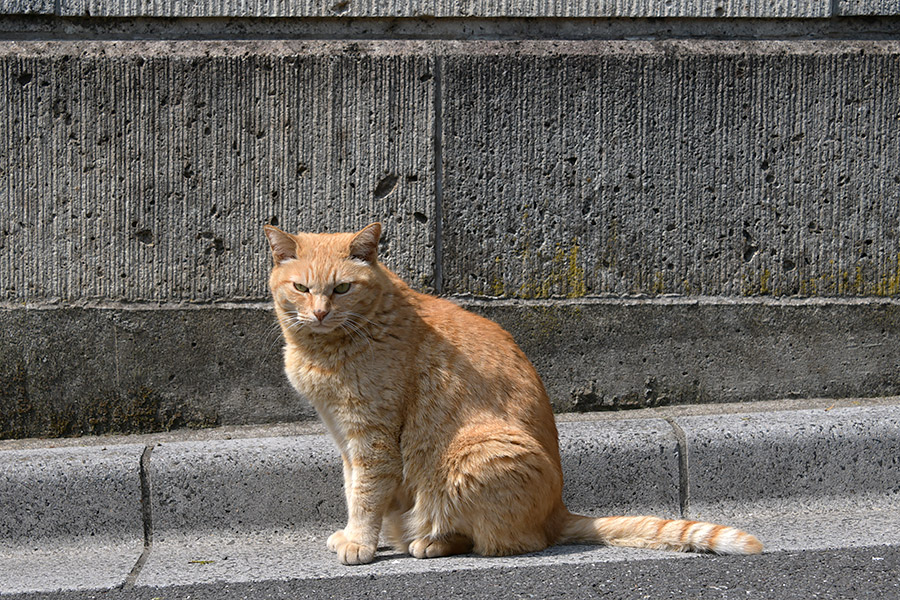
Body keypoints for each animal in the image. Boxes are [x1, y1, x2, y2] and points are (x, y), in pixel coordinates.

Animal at [264, 223, 764, 564]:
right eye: (302, 288)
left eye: (342, 288)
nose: (320, 312)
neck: (328, 347)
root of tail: (557, 510)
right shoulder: (344, 436)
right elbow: (353, 489)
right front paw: (352, 534)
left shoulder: (372, 437)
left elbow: (366, 494)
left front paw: (360, 543)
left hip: (474, 453)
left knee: (508, 542)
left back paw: (429, 542)